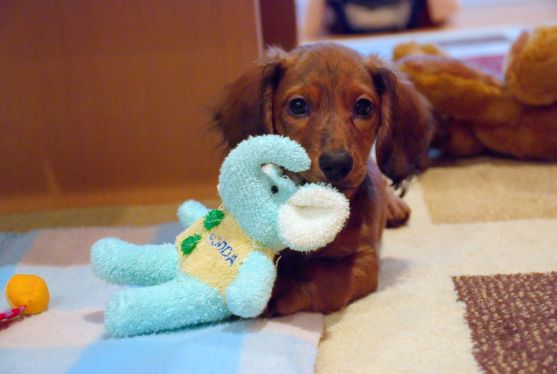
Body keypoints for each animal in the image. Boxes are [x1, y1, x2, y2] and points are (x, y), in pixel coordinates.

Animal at [211, 43, 432, 316]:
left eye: (364, 107)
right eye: (297, 105)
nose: (337, 164)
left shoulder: (364, 260)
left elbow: (320, 276)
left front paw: (279, 287)